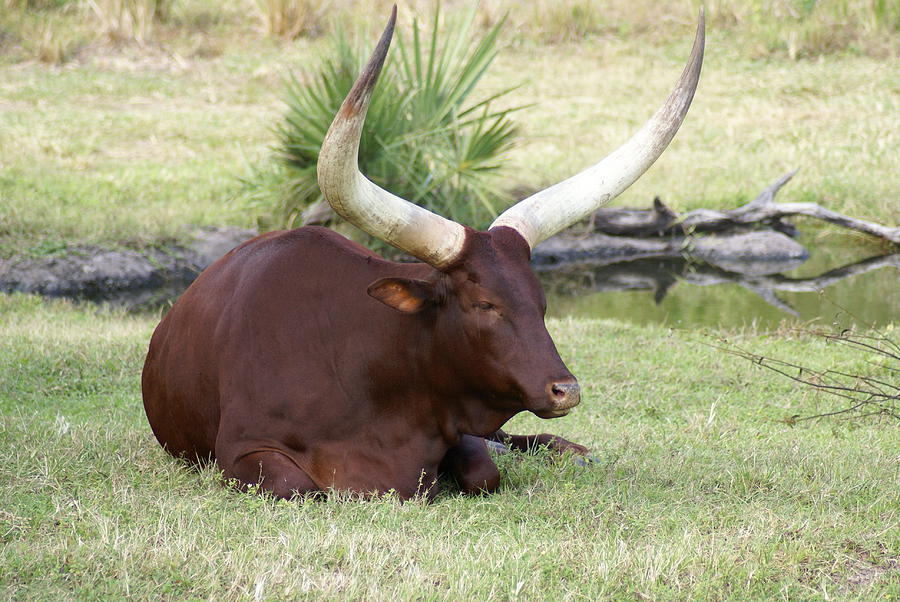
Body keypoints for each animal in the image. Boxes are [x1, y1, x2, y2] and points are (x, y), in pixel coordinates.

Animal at [142, 7, 704, 500]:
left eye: (541, 304)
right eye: (484, 304)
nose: (565, 390)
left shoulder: (458, 427)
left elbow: (484, 473)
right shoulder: (240, 450)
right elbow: (296, 486)